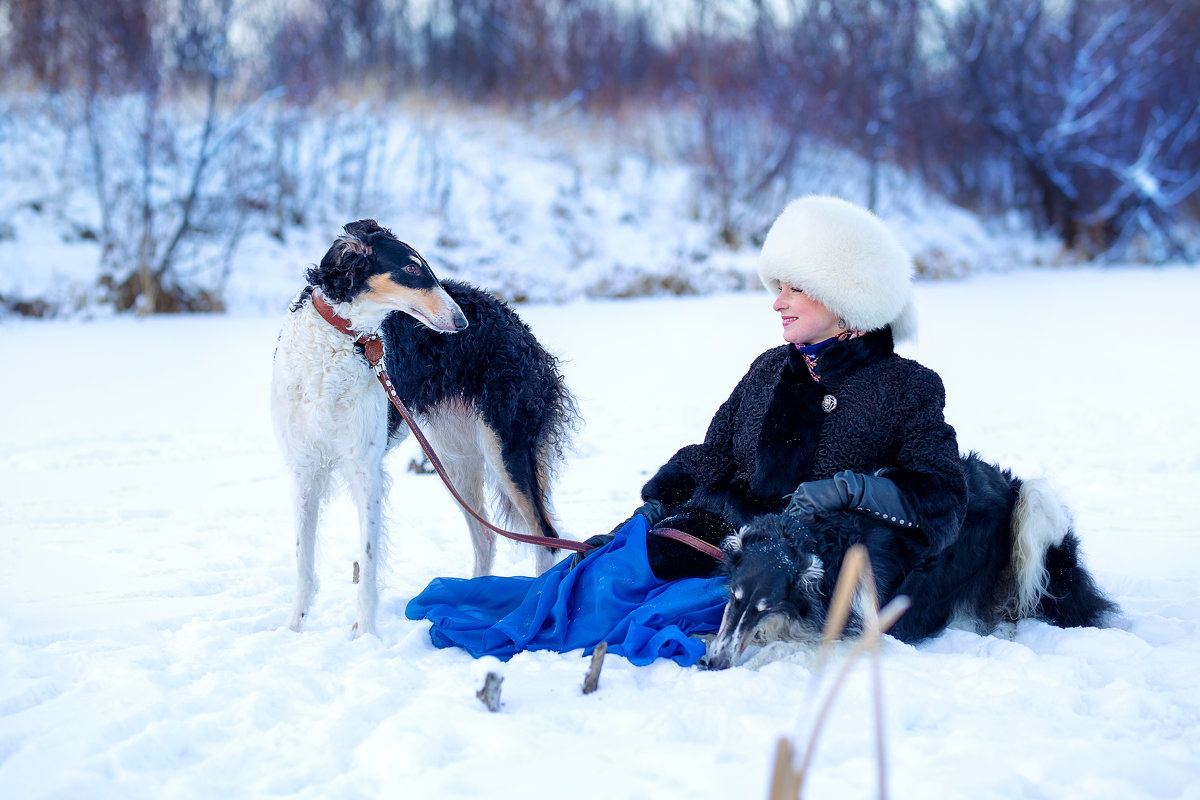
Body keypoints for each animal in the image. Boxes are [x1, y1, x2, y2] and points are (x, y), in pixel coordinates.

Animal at [271, 219, 576, 638]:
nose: (461, 322)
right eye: (411, 269)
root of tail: (515, 322)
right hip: (453, 457)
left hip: (505, 449)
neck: (344, 340)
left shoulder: (365, 469)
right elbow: (304, 564)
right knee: (486, 537)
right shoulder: (304, 468)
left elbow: (367, 563)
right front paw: (292, 630)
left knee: (545, 537)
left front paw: (365, 636)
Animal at [700, 450, 1113, 671]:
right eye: (734, 597)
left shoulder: (861, 632)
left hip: (1030, 516)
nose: (714, 663)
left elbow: (783, 647)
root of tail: (1010, 484)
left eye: (764, 605)